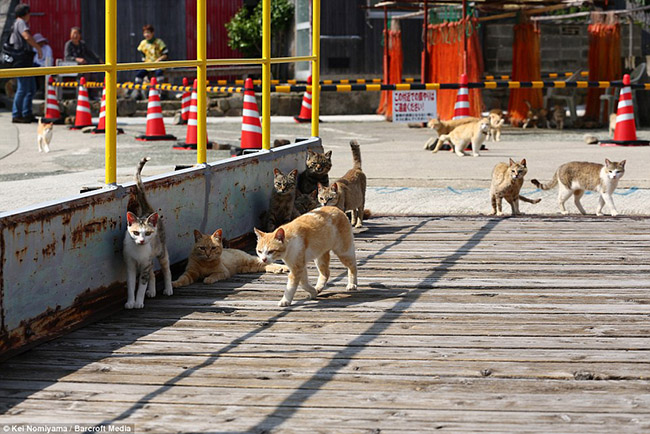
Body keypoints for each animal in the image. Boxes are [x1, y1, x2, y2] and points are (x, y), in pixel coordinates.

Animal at [121, 157, 172, 308]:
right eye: (136, 233)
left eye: (148, 233)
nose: (142, 240)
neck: (138, 250)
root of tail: (148, 211)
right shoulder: (130, 264)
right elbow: (131, 285)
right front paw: (130, 301)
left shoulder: (145, 264)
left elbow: (142, 285)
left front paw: (138, 302)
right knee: (152, 273)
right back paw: (152, 291)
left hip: (161, 250)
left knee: (166, 268)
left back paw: (168, 288)